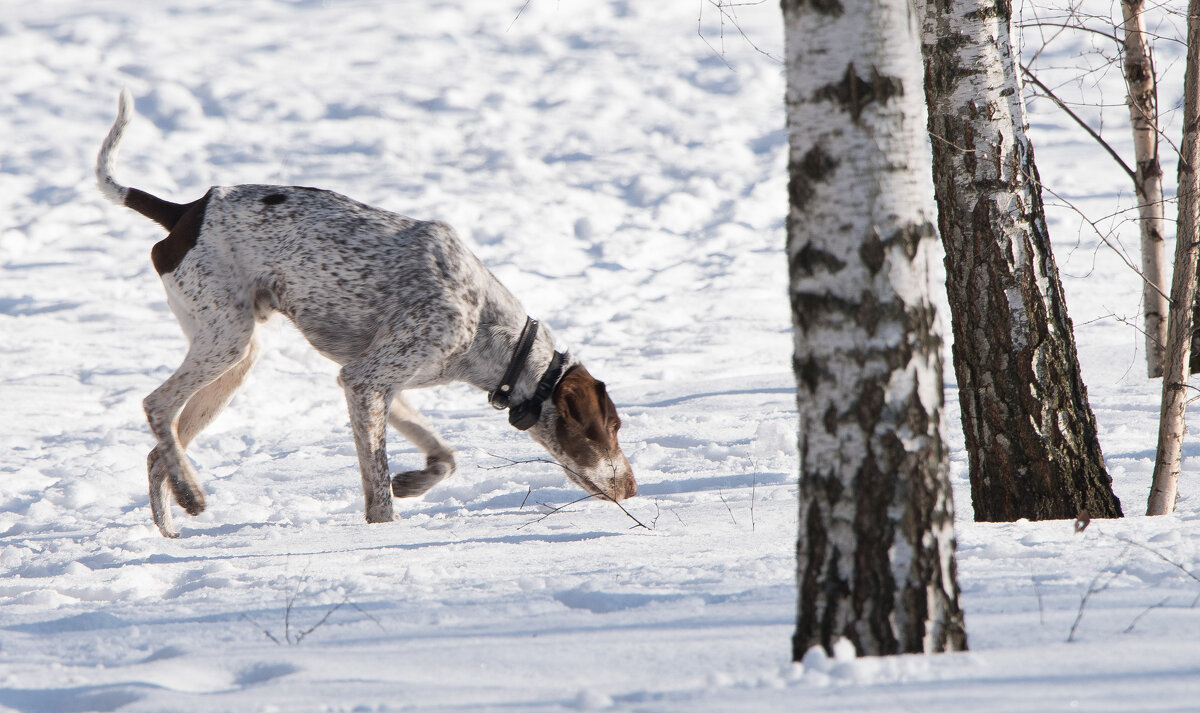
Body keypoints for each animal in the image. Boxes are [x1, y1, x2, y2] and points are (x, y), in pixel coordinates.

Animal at [94, 88, 638, 535]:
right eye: (611, 429)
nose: (633, 487)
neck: (489, 327)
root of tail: (186, 211)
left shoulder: (381, 386)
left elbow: (444, 458)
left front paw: (412, 482)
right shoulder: (365, 381)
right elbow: (377, 491)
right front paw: (385, 533)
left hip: (235, 357)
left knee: (157, 450)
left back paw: (171, 522)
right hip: (225, 341)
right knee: (155, 406)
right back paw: (191, 494)